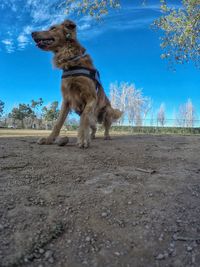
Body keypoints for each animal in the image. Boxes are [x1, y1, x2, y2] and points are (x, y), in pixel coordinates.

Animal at [31, 19, 122, 148]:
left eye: (53, 28)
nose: (32, 33)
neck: (71, 60)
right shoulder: (66, 99)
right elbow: (58, 123)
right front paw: (49, 139)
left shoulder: (91, 98)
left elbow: (84, 119)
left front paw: (82, 139)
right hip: (91, 117)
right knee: (94, 127)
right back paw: (92, 136)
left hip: (107, 112)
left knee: (105, 127)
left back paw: (106, 136)